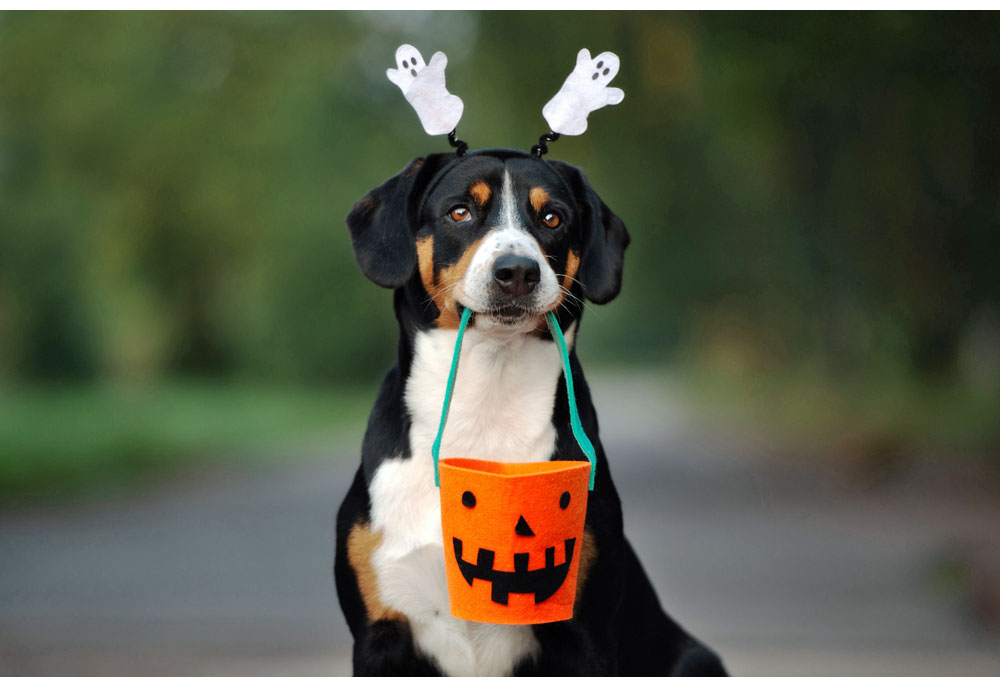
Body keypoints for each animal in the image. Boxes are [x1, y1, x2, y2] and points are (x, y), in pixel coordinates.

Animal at [336, 150, 728, 676]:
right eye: (459, 212)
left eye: (552, 218)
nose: (517, 271)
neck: (486, 404)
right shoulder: (379, 634)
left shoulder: (584, 636)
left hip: (696, 660)